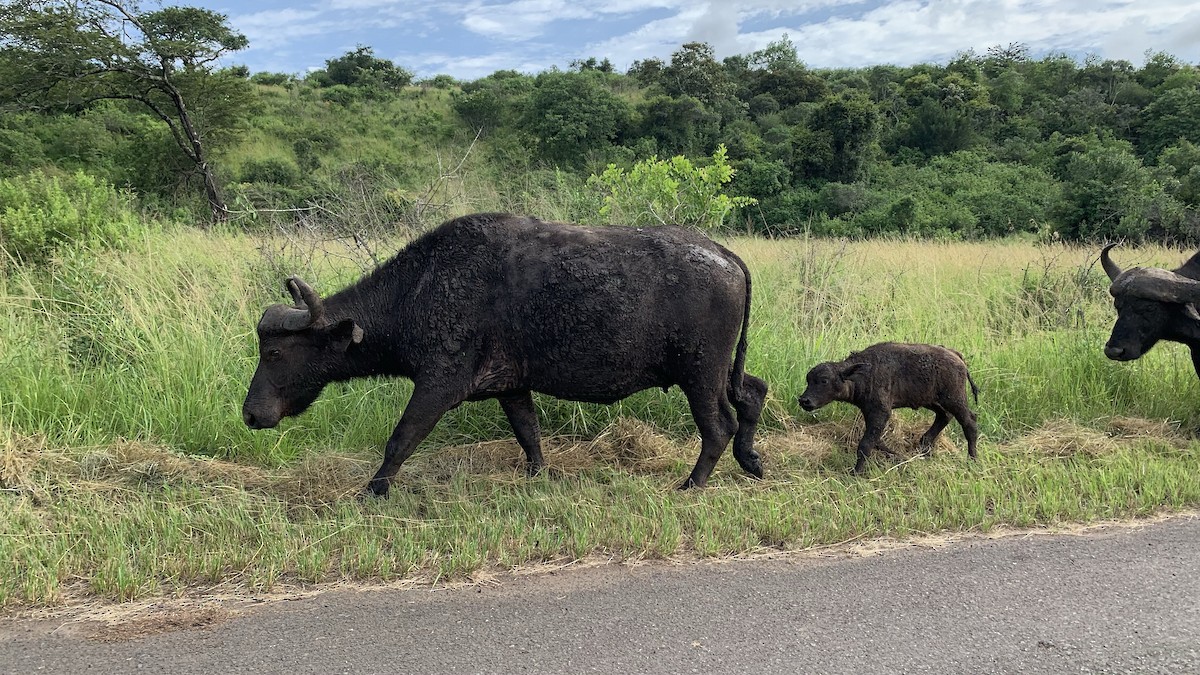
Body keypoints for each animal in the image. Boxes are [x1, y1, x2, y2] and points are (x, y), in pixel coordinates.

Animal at [242, 213, 768, 496]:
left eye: (274, 352)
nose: (250, 414)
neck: (420, 287)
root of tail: (723, 254)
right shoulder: (513, 388)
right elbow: (528, 434)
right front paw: (538, 475)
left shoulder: (437, 387)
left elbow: (401, 439)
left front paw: (374, 488)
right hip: (720, 371)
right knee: (753, 394)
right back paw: (751, 461)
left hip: (700, 374)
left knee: (719, 425)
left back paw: (692, 484)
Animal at [797, 342, 980, 474]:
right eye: (808, 380)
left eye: (824, 380)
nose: (804, 401)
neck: (861, 374)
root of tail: (956, 355)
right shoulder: (870, 413)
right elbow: (876, 442)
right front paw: (899, 457)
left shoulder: (881, 412)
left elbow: (865, 444)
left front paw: (855, 473)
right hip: (933, 401)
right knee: (944, 416)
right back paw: (925, 448)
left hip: (954, 399)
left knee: (969, 423)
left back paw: (972, 460)